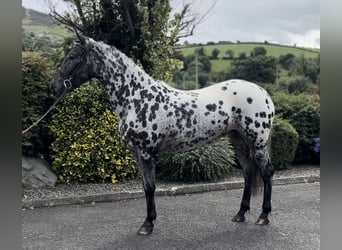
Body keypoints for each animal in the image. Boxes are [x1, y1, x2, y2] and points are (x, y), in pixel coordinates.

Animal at [50, 30, 276, 235]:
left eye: (72, 57)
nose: (54, 86)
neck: (137, 97)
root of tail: (263, 93)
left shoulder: (147, 153)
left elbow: (150, 187)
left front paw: (147, 224)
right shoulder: (138, 154)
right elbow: (145, 186)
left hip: (257, 142)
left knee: (266, 172)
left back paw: (263, 216)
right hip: (238, 139)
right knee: (248, 172)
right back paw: (240, 214)